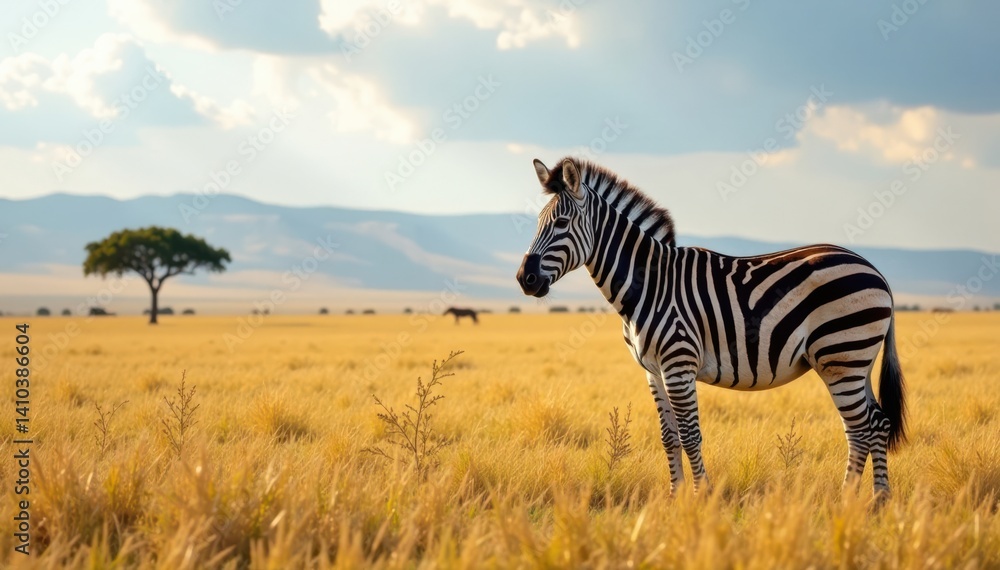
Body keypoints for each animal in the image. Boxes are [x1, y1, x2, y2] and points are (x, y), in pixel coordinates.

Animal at [515, 157, 907, 498]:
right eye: (537, 224)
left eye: (561, 224)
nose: (524, 279)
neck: (650, 285)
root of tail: (875, 270)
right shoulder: (652, 371)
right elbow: (668, 437)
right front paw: (675, 499)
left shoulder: (679, 363)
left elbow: (690, 435)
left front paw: (702, 498)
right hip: (856, 361)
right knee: (878, 423)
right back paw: (876, 501)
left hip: (840, 357)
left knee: (861, 428)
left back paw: (849, 500)